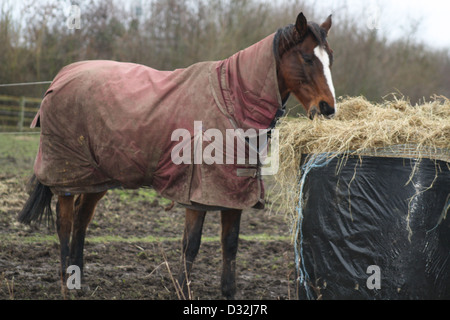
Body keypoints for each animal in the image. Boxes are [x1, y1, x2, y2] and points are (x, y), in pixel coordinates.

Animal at [18, 10, 334, 300]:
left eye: (330, 57)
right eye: (308, 58)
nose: (327, 108)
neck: (230, 100)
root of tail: (60, 78)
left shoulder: (234, 194)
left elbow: (230, 244)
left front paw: (228, 294)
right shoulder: (197, 193)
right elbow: (191, 244)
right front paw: (183, 291)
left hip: (97, 175)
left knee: (82, 218)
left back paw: (78, 281)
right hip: (68, 173)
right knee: (65, 222)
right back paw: (66, 284)